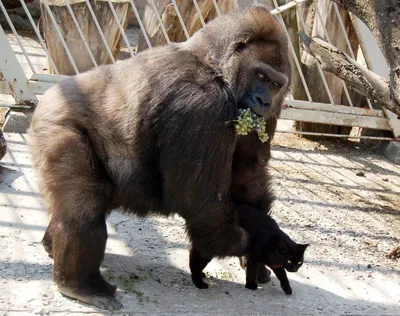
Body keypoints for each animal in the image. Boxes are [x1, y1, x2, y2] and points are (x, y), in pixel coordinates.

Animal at [27, 4, 290, 312]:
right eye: (260, 76)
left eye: (275, 84)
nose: (264, 101)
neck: (212, 64)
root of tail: (48, 96)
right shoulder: (203, 104)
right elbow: (201, 202)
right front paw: (252, 245)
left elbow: (247, 177)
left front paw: (261, 250)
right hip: (53, 124)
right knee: (84, 204)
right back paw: (79, 284)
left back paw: (51, 245)